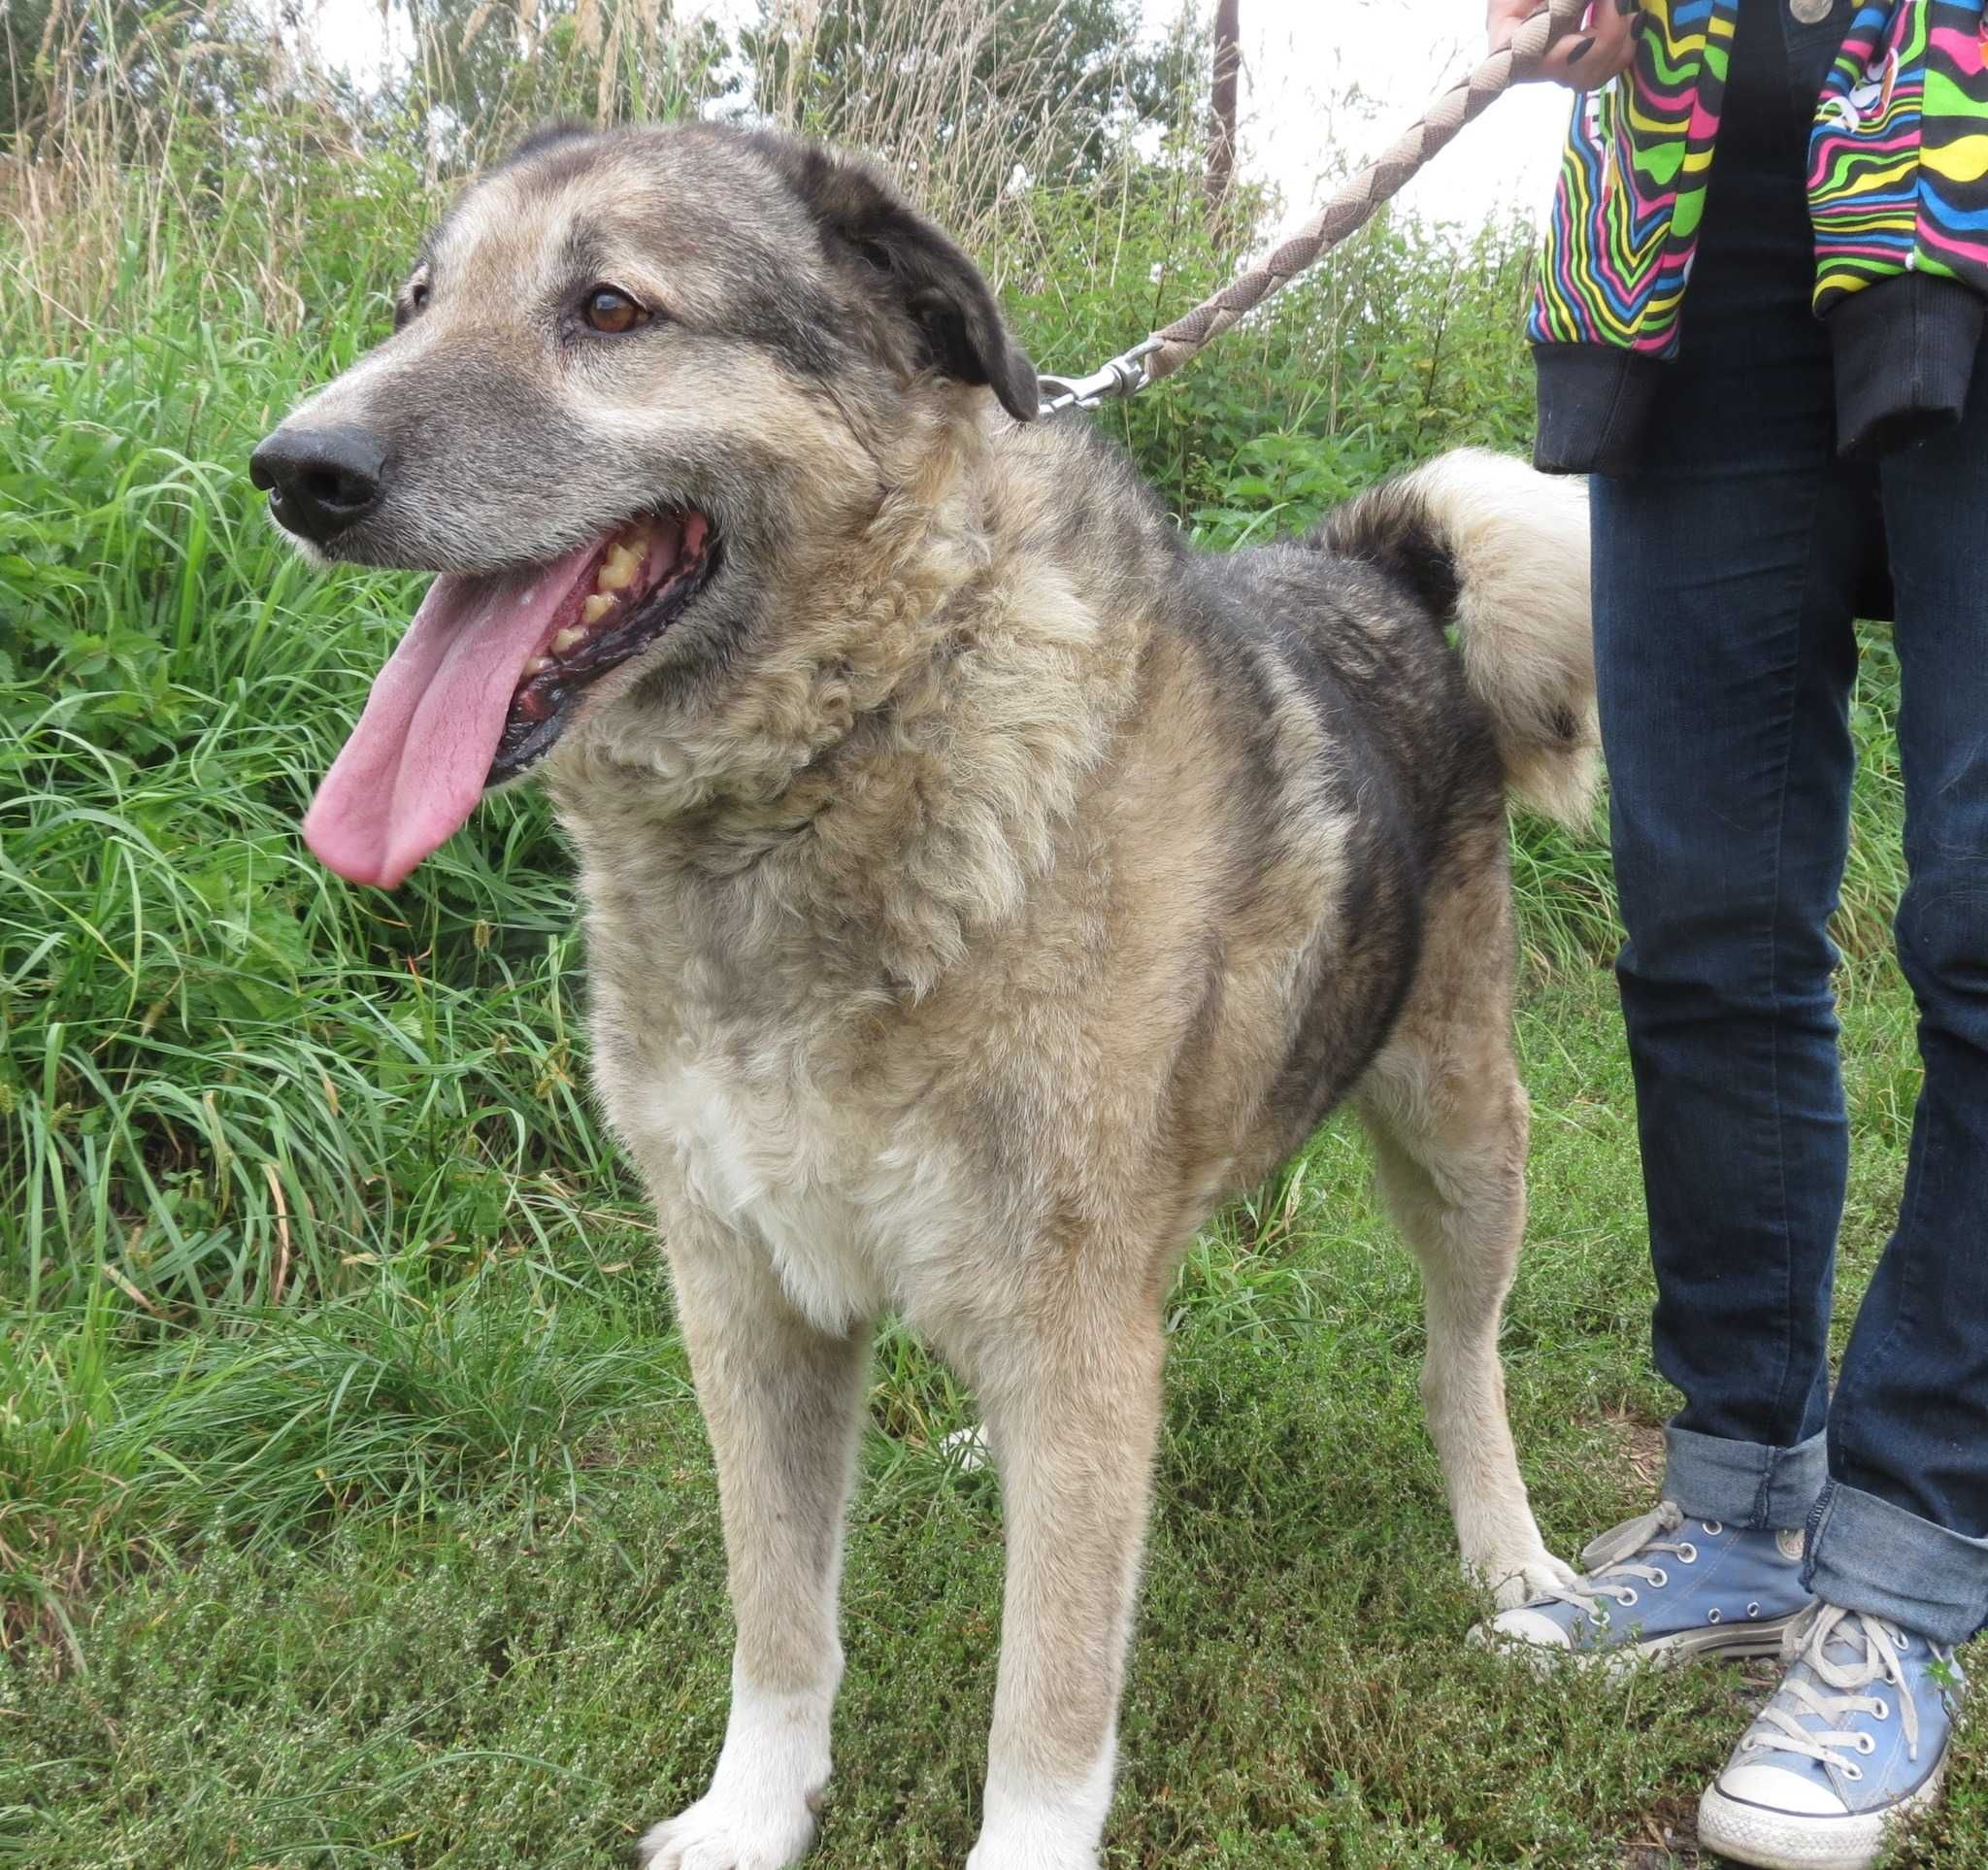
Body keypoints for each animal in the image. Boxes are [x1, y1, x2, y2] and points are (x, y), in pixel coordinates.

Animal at [256, 119, 1598, 1870]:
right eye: (414, 304)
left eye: (610, 308)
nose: (297, 470)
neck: (844, 750)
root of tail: (1372, 566)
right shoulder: (745, 1292)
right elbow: (778, 1616)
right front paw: (753, 1812)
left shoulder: (1074, 1318)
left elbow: (1049, 1697)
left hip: (1457, 1134)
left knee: (1461, 1363)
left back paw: (1508, 1561)